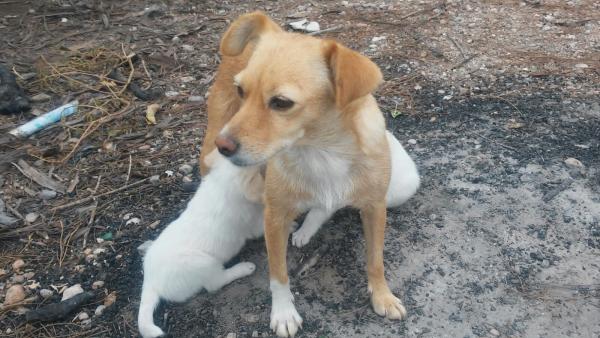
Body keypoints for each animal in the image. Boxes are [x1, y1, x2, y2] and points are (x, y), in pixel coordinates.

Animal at [139, 151, 266, 338]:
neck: (222, 183)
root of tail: (150, 281)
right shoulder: (253, 224)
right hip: (203, 263)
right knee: (216, 283)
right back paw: (243, 268)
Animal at [202, 11, 412, 336]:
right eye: (241, 91)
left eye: (281, 102)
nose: (223, 146)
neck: (321, 151)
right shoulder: (274, 216)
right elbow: (278, 274)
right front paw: (283, 312)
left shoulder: (375, 207)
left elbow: (375, 259)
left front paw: (382, 295)